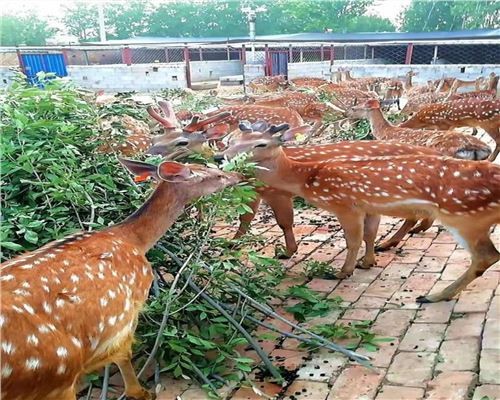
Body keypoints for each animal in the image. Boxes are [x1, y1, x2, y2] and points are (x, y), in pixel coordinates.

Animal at [0, 158, 240, 398]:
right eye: (216, 174)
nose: (238, 176)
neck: (133, 240)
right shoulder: (133, 303)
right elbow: (124, 354)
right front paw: (142, 392)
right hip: (55, 373)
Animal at [215, 123, 500, 302]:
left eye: (261, 143)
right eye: (231, 140)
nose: (221, 157)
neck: (308, 177)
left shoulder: (345, 204)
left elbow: (350, 239)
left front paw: (343, 271)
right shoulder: (368, 206)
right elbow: (368, 234)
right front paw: (368, 262)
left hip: (465, 218)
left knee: (486, 256)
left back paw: (433, 295)